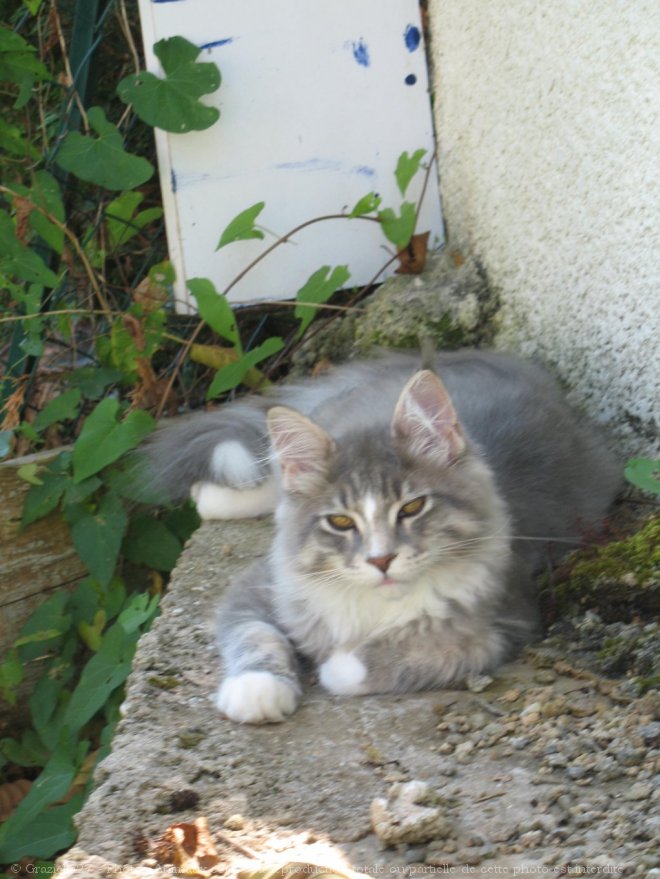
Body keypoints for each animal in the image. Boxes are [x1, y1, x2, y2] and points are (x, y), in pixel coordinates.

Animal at [146, 348, 620, 720]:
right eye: (340, 522)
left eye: (411, 509)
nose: (380, 560)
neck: (374, 606)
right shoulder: (262, 585)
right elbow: (254, 635)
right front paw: (258, 690)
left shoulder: (501, 624)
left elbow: (391, 655)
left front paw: (333, 663)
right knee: (273, 471)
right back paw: (213, 496)